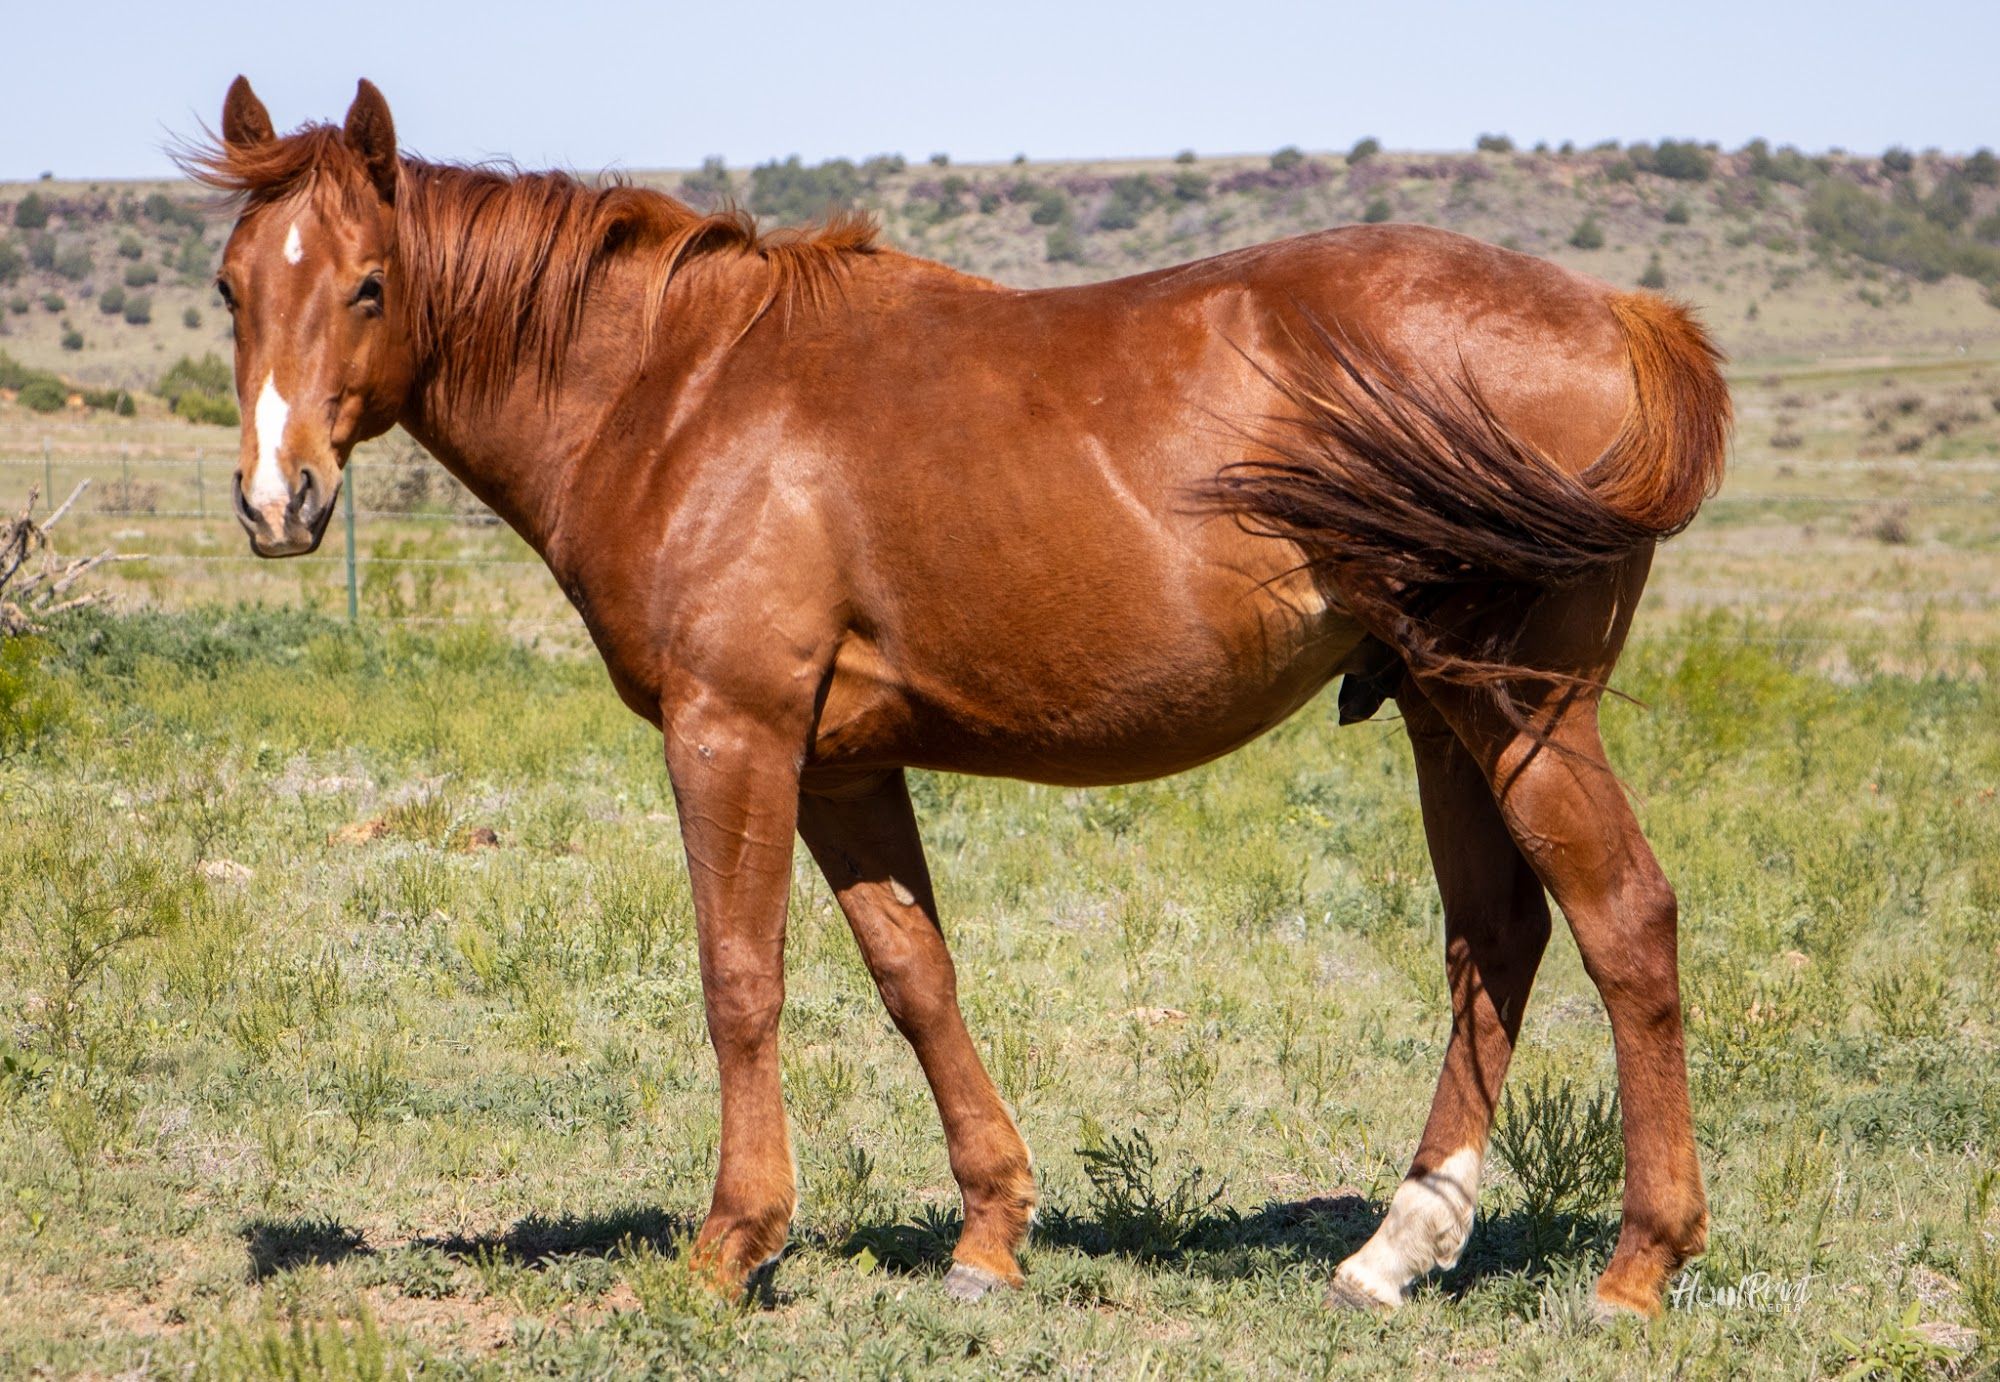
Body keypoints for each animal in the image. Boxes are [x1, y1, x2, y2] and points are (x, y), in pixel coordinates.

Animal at [183, 77, 1731, 1318]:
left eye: (369, 285)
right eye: (232, 287)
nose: (277, 500)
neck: (678, 390)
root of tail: (1619, 313)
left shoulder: (731, 733)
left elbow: (740, 978)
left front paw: (732, 1242)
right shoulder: (840, 765)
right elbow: (914, 976)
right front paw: (990, 1235)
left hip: (1517, 708)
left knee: (1622, 921)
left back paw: (1638, 1264)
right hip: (1438, 711)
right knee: (1497, 936)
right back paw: (1396, 1249)